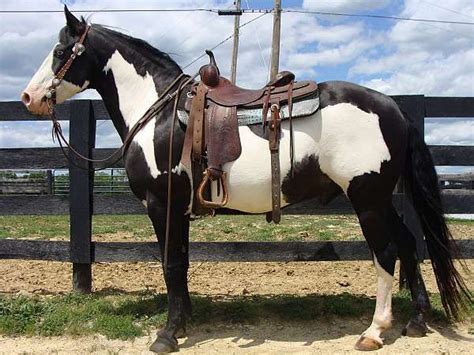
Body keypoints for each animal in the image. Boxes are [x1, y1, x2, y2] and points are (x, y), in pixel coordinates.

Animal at [22, 7, 470, 354]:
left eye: (60, 51)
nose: (29, 98)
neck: (160, 114)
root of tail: (392, 107)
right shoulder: (180, 209)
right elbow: (181, 263)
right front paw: (184, 322)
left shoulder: (162, 204)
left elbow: (170, 263)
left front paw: (167, 334)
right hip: (379, 198)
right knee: (409, 245)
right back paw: (416, 321)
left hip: (367, 200)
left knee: (387, 253)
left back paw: (374, 331)